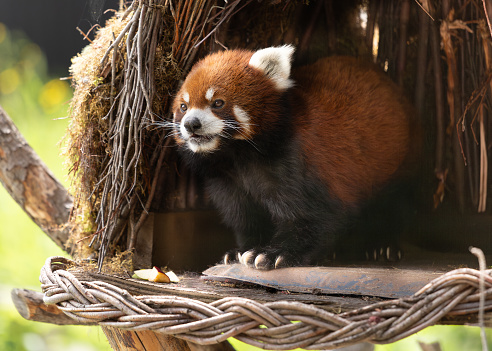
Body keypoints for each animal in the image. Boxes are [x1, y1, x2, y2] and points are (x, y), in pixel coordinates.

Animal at [171, 44, 414, 270]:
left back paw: (382, 247)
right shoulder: (227, 181)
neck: (238, 156)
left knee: (393, 206)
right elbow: (245, 218)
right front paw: (242, 250)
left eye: (217, 103)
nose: (191, 124)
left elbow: (314, 216)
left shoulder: (299, 164)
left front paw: (276, 253)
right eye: (183, 107)